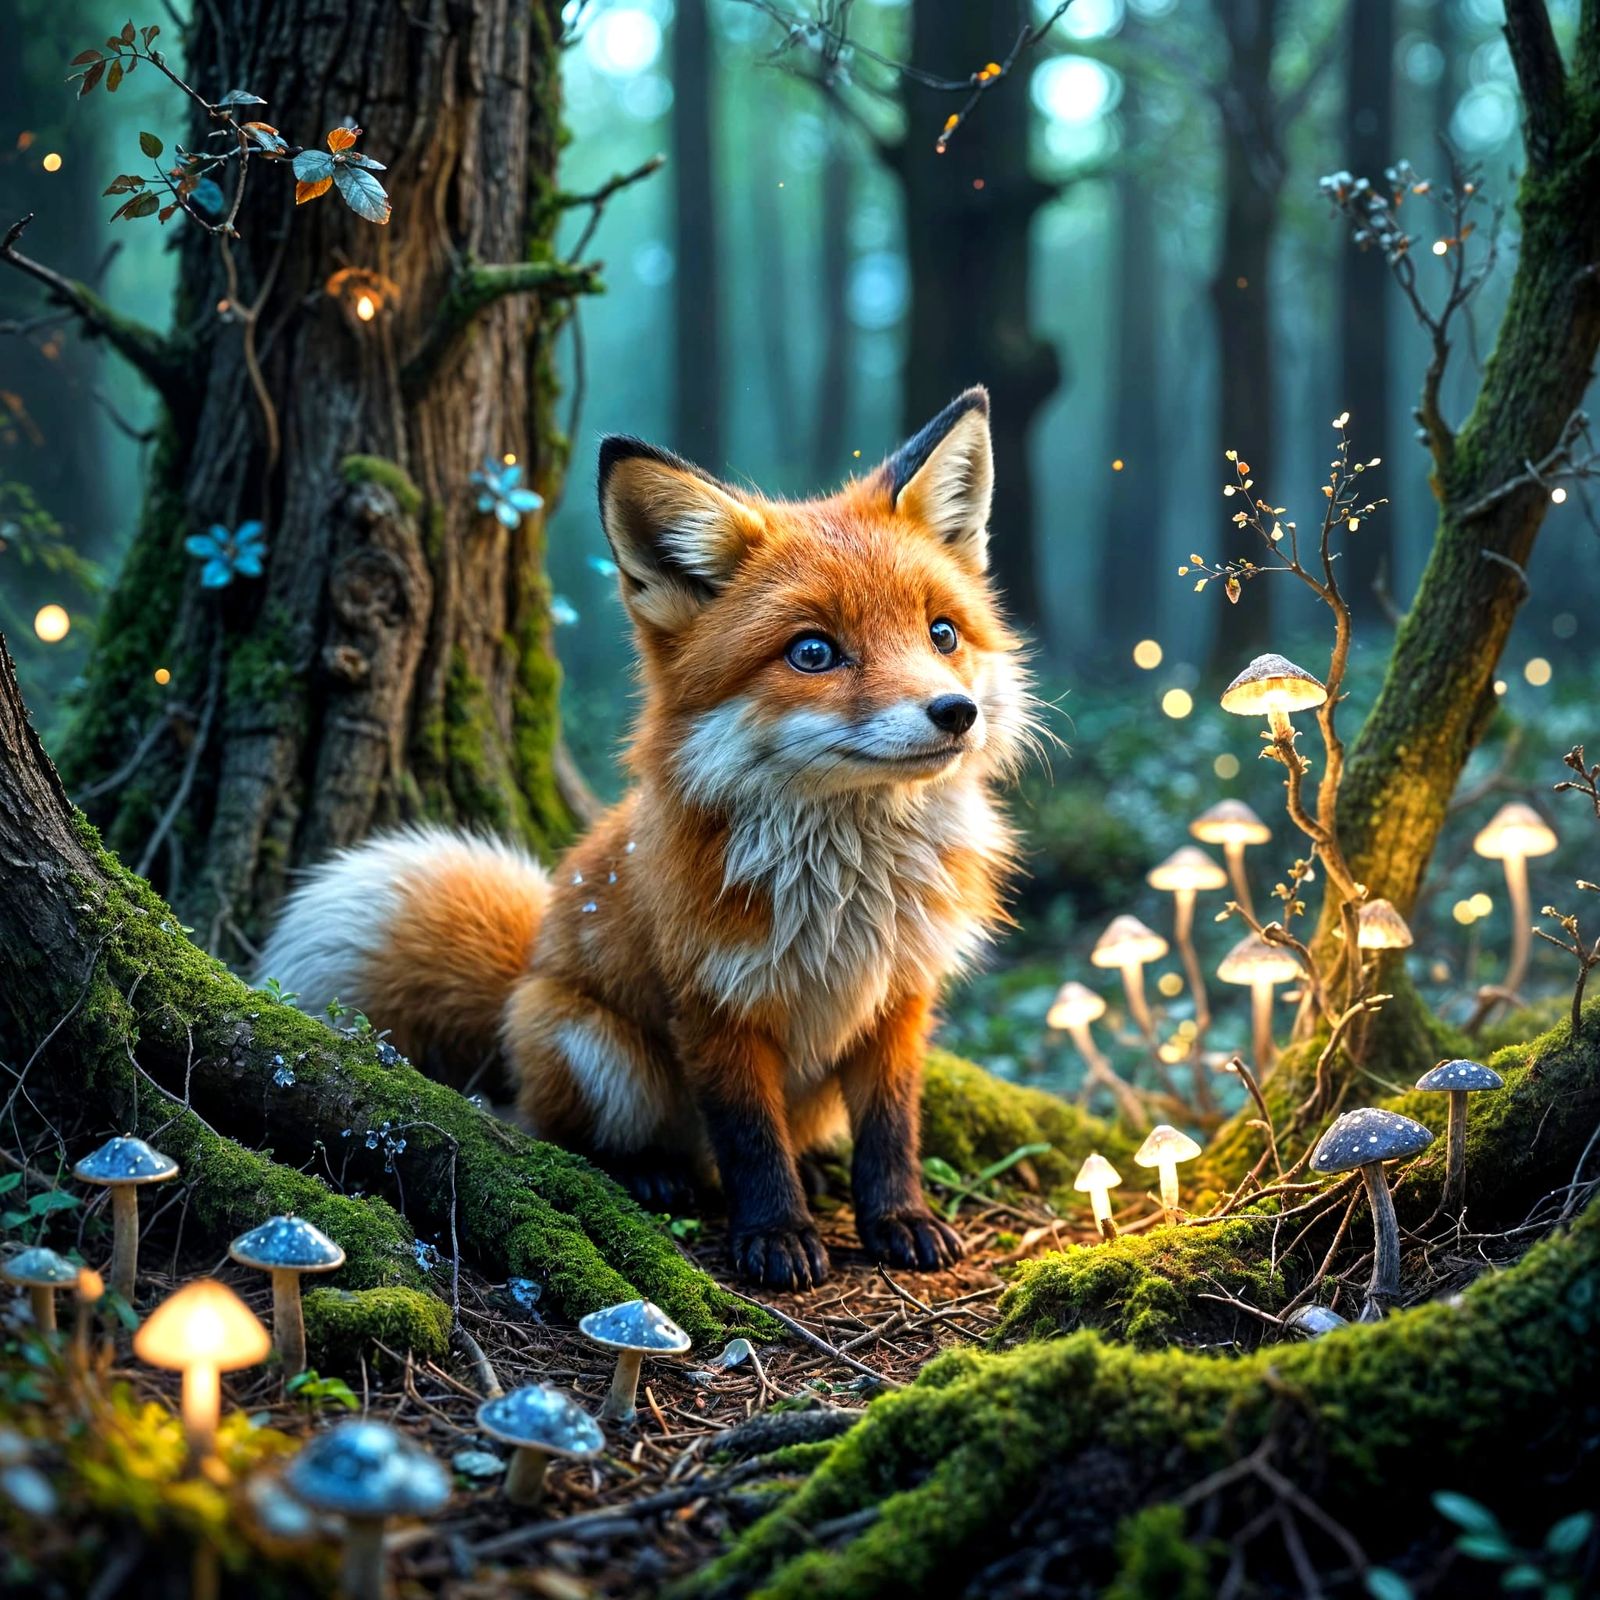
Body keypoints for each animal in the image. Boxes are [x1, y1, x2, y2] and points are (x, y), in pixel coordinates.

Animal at [257, 387, 1032, 1289]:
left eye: (942, 633)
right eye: (813, 651)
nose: (956, 713)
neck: (845, 894)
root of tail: (527, 971)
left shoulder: (901, 996)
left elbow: (892, 1126)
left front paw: (899, 1218)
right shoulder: (713, 1001)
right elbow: (748, 1137)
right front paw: (776, 1234)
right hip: (596, 1049)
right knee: (568, 1131)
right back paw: (650, 1174)